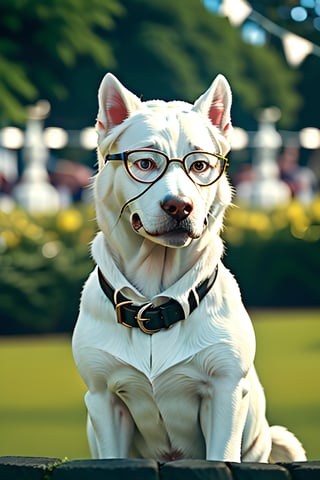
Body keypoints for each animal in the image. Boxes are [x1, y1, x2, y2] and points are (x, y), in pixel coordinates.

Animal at [71, 73, 306, 464]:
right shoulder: (104, 398)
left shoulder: (225, 392)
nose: (179, 206)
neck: (155, 302)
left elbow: (220, 453)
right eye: (146, 163)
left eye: (199, 165)